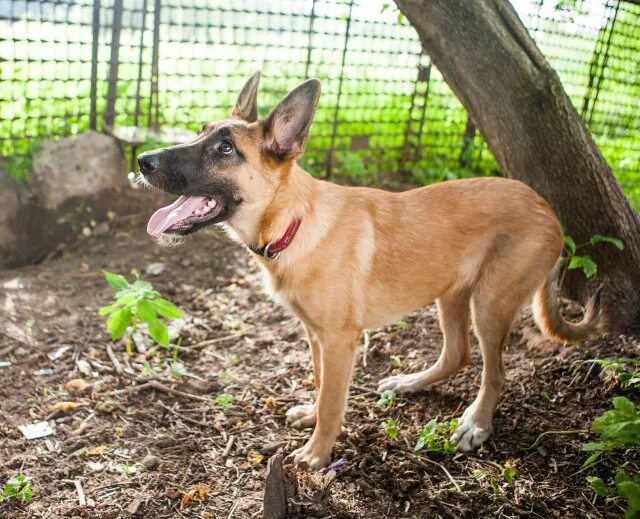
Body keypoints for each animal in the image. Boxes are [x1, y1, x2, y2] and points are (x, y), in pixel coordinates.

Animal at [138, 72, 604, 468]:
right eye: (200, 131)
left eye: (225, 149)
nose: (143, 160)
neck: (293, 220)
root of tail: (547, 209)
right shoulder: (316, 337)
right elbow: (321, 383)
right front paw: (311, 417)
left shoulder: (340, 340)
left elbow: (333, 402)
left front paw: (317, 453)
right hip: (451, 293)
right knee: (457, 354)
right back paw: (409, 384)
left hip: (490, 304)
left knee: (496, 372)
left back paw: (477, 423)